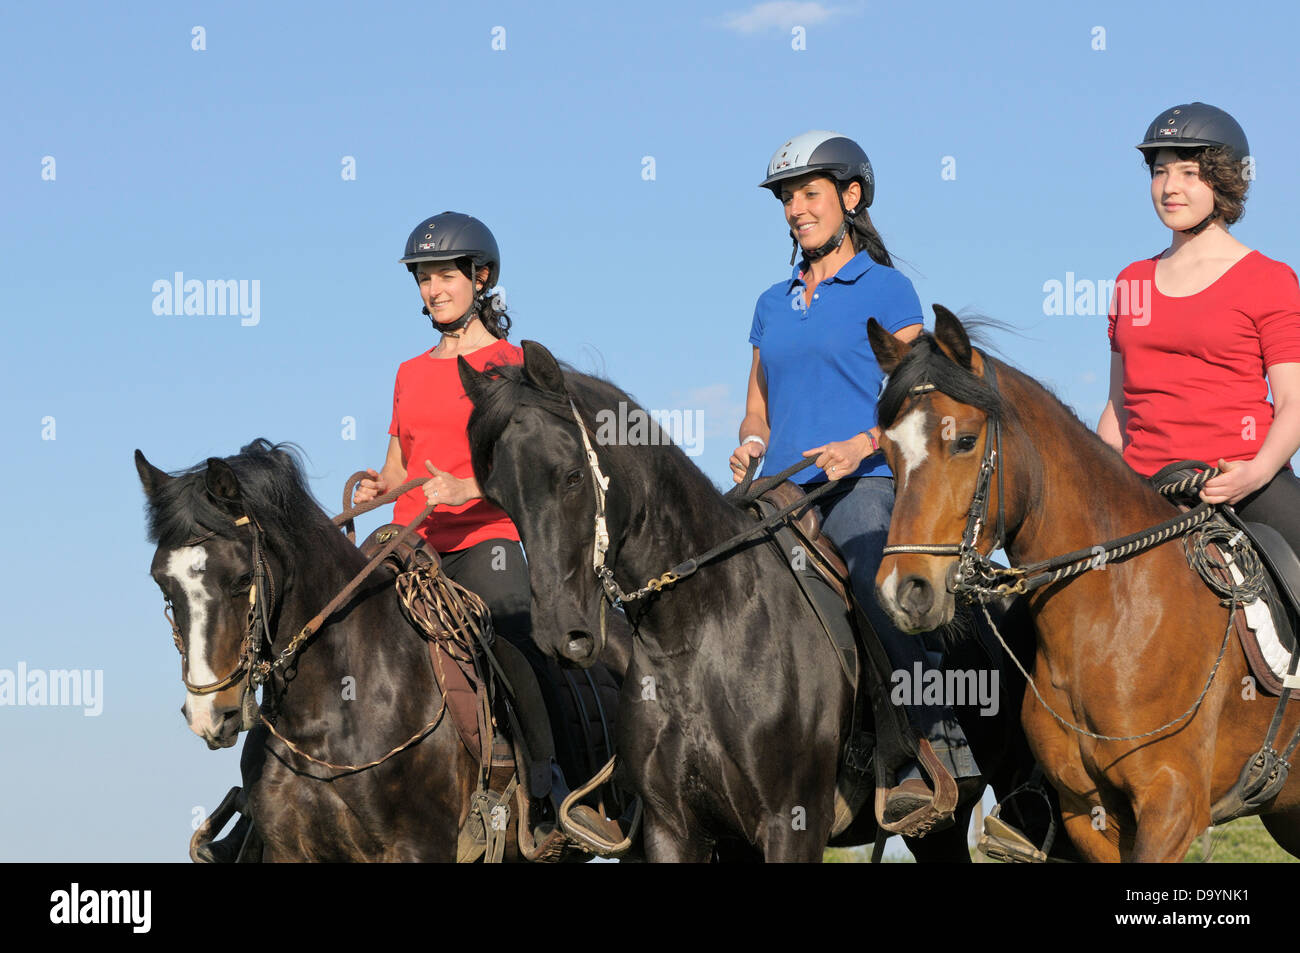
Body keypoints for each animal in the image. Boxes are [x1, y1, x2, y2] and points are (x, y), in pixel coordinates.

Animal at [460, 343, 1045, 863]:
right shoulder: (677, 830)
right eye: (499, 497)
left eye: (573, 475)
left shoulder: (792, 825)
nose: (564, 634)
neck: (701, 632)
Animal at [868, 304, 1300, 863]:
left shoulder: (1172, 804)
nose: (904, 592)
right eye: (887, 451)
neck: (1112, 621)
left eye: (964, 441)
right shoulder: (1087, 812)